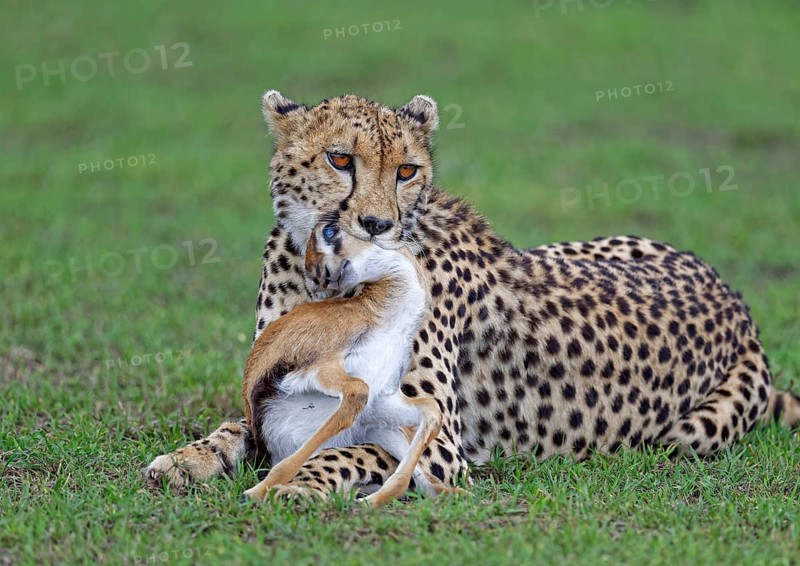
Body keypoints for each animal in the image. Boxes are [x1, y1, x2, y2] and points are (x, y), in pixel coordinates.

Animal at [145, 90, 800, 499]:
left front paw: (300, 481)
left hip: (682, 436)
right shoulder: (274, 388)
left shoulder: (440, 446)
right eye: (339, 159)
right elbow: (236, 427)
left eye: (406, 171)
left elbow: (347, 448)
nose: (378, 224)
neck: (329, 279)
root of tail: (733, 298)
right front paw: (185, 459)